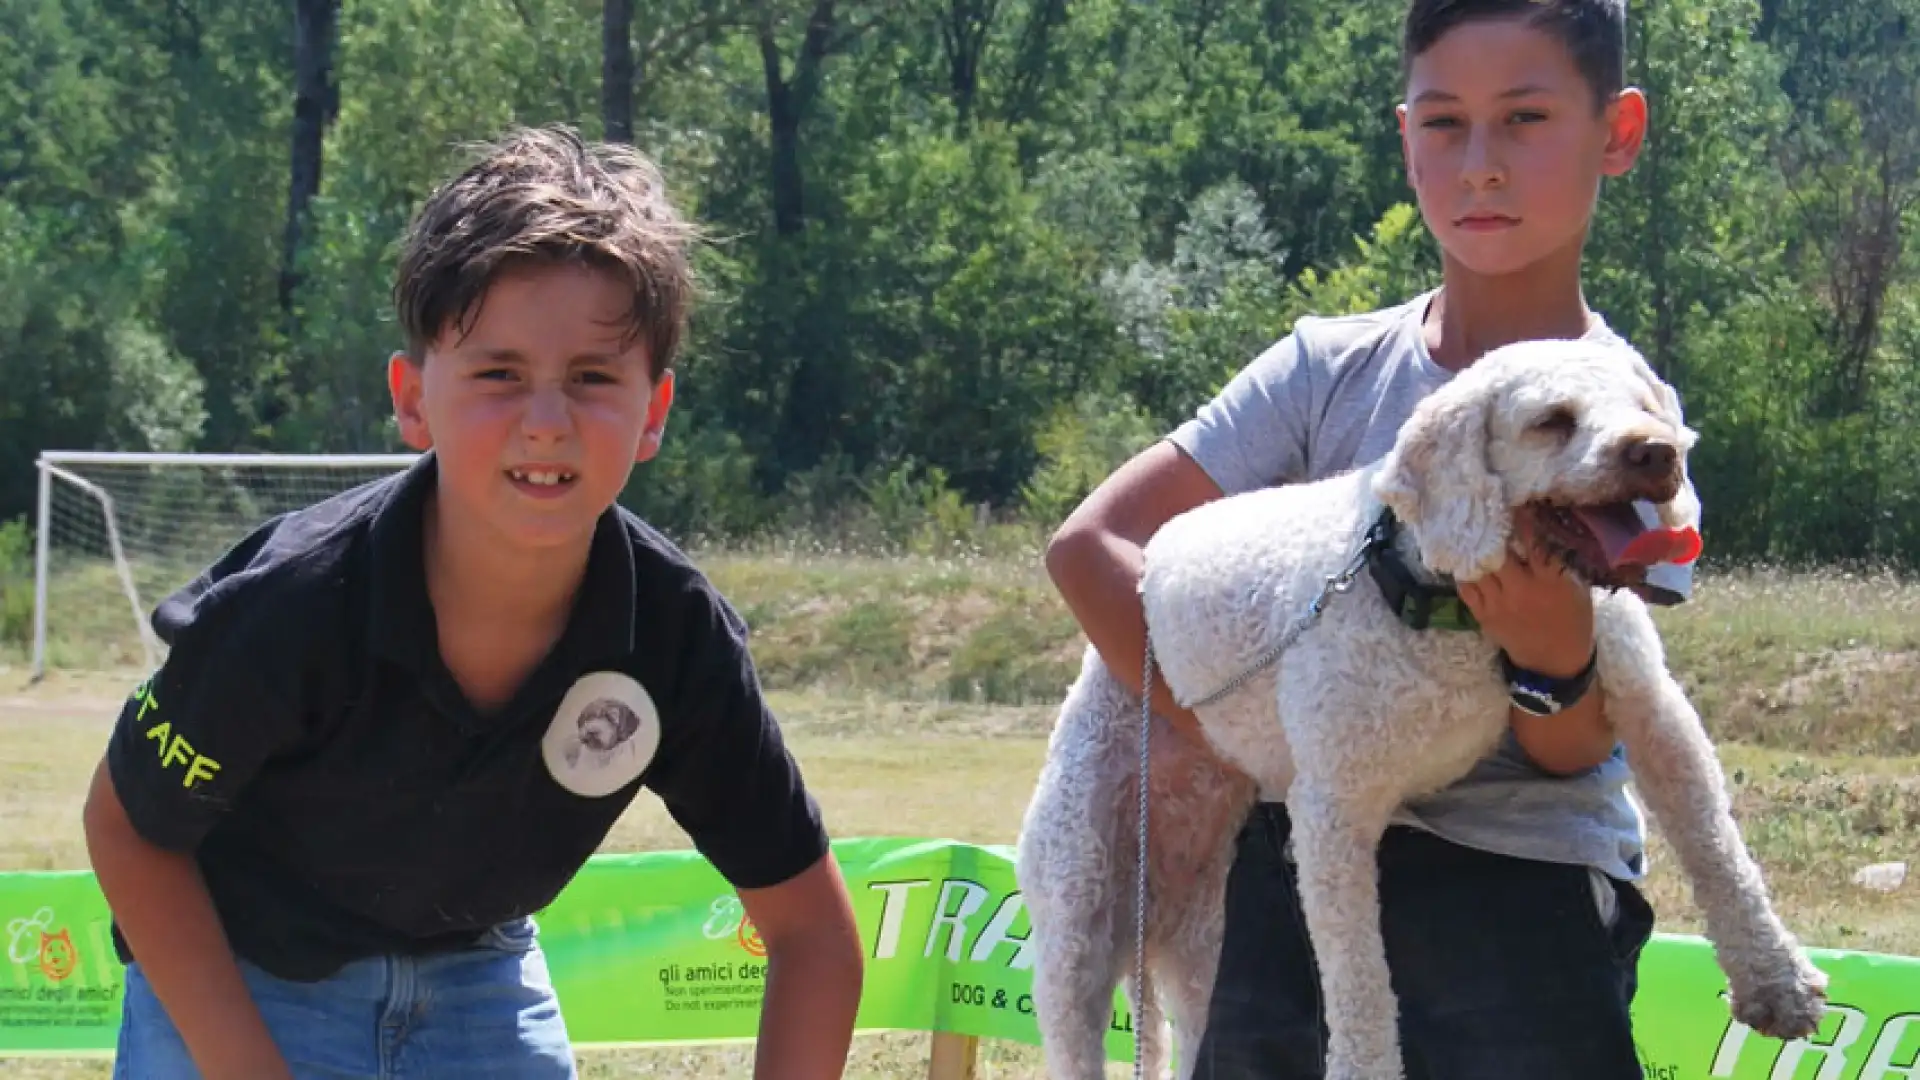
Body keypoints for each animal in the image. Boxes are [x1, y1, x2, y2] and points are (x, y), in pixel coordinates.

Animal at [1021, 336, 1827, 1076]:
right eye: (1553, 421)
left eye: (1648, 408)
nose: (1658, 454)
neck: (1441, 601)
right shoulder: (1332, 813)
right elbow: (1359, 982)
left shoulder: (1651, 707)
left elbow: (1716, 844)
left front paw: (1776, 980)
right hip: (1079, 915)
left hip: (1201, 939)